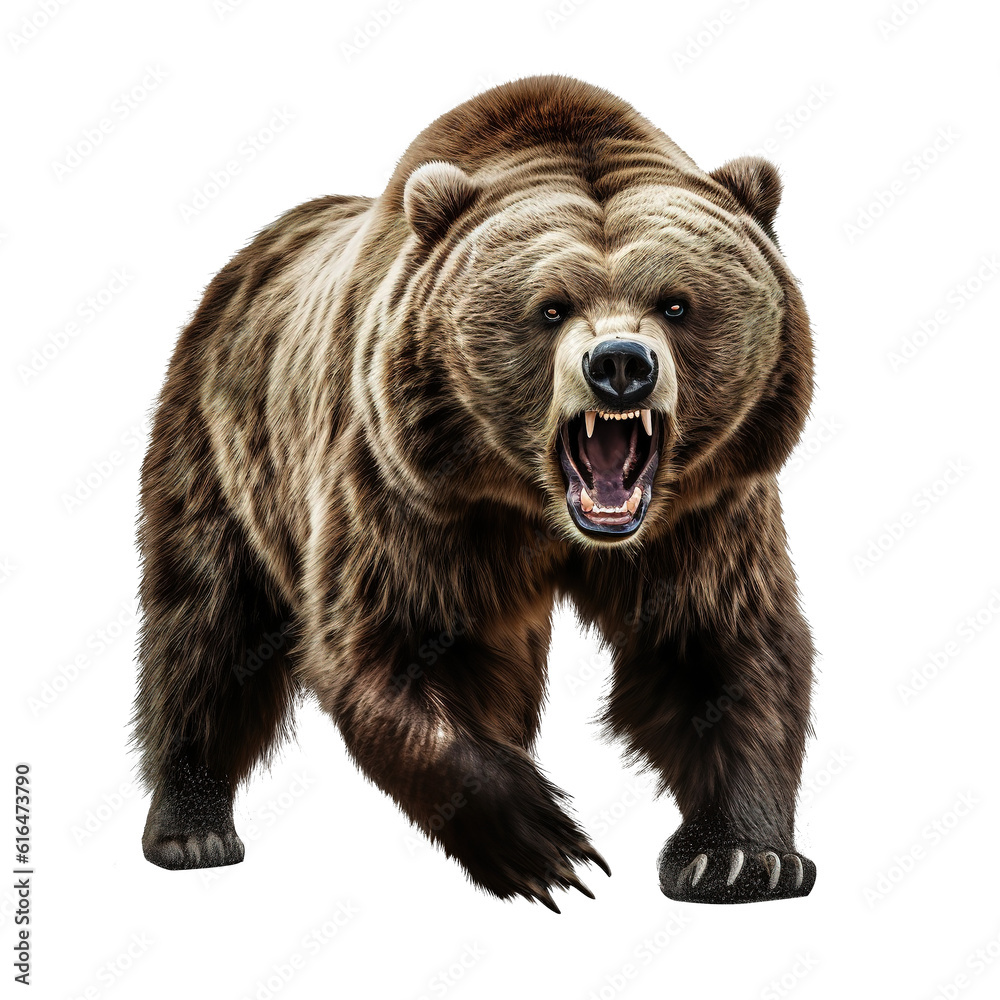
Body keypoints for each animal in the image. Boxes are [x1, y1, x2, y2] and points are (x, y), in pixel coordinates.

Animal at [132, 74, 817, 908]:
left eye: (677, 302)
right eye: (551, 306)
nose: (621, 363)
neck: (540, 510)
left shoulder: (706, 509)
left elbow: (720, 645)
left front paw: (743, 857)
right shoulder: (408, 485)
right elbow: (399, 644)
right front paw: (548, 847)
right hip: (221, 440)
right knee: (207, 623)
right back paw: (191, 829)